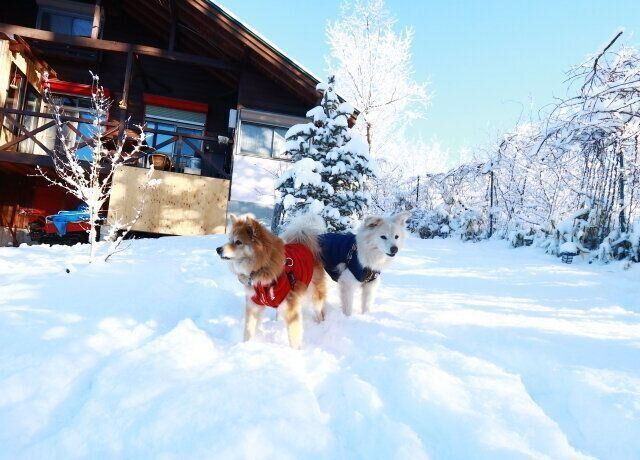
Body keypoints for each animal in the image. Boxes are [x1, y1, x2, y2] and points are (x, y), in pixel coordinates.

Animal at [216, 214, 326, 349]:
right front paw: (246, 346)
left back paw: (320, 324)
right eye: (229, 239)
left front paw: (295, 352)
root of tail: (303, 243)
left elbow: (294, 337)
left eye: (238, 242)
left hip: (315, 295)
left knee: (319, 310)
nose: (218, 249)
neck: (261, 268)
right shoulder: (254, 304)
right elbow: (248, 330)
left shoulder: (291, 309)